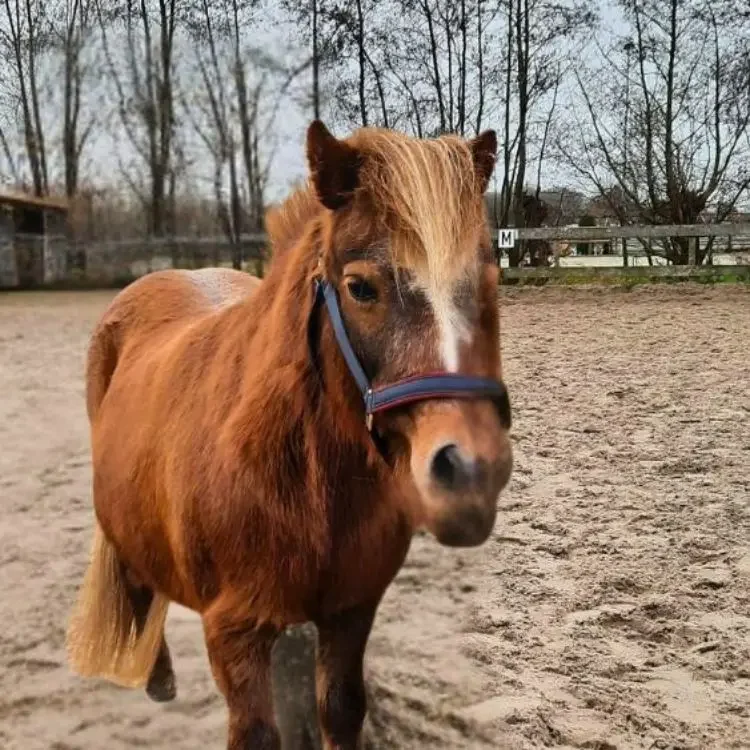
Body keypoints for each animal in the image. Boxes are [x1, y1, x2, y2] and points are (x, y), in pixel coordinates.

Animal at [66, 120, 514, 750]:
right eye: (360, 287)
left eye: (491, 282)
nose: (473, 471)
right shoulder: (234, 634)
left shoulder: (351, 612)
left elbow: (340, 709)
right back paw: (158, 676)